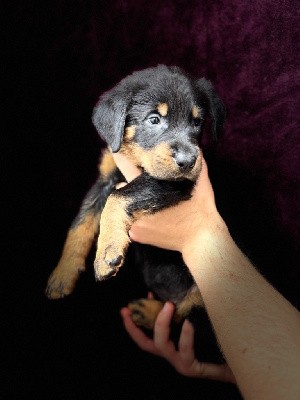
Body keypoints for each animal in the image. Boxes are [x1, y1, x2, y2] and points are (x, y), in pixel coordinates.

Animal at [45, 65, 225, 328]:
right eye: (154, 119)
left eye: (197, 122)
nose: (188, 162)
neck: (135, 158)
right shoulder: (105, 178)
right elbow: (80, 223)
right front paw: (63, 273)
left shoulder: (175, 183)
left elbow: (118, 197)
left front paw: (107, 253)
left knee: (183, 316)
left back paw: (149, 312)